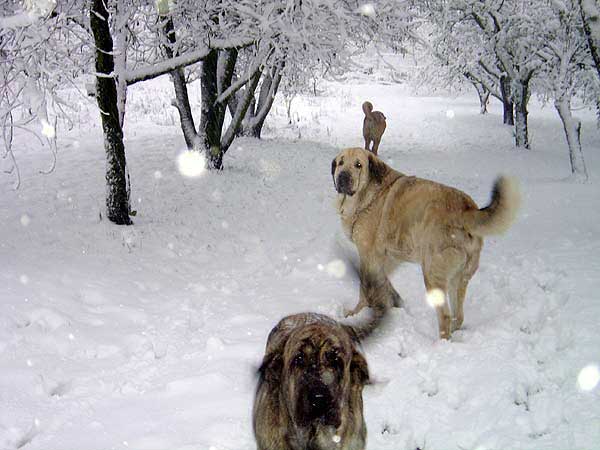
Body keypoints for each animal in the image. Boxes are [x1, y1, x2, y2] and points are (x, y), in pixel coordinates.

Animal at [330, 149, 516, 340]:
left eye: (358, 165)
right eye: (340, 163)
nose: (342, 176)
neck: (368, 195)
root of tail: (467, 209)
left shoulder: (368, 254)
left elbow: (364, 288)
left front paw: (357, 313)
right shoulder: (389, 257)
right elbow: (382, 282)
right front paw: (394, 301)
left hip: (432, 275)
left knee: (445, 315)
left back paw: (441, 343)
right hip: (458, 279)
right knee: (459, 316)